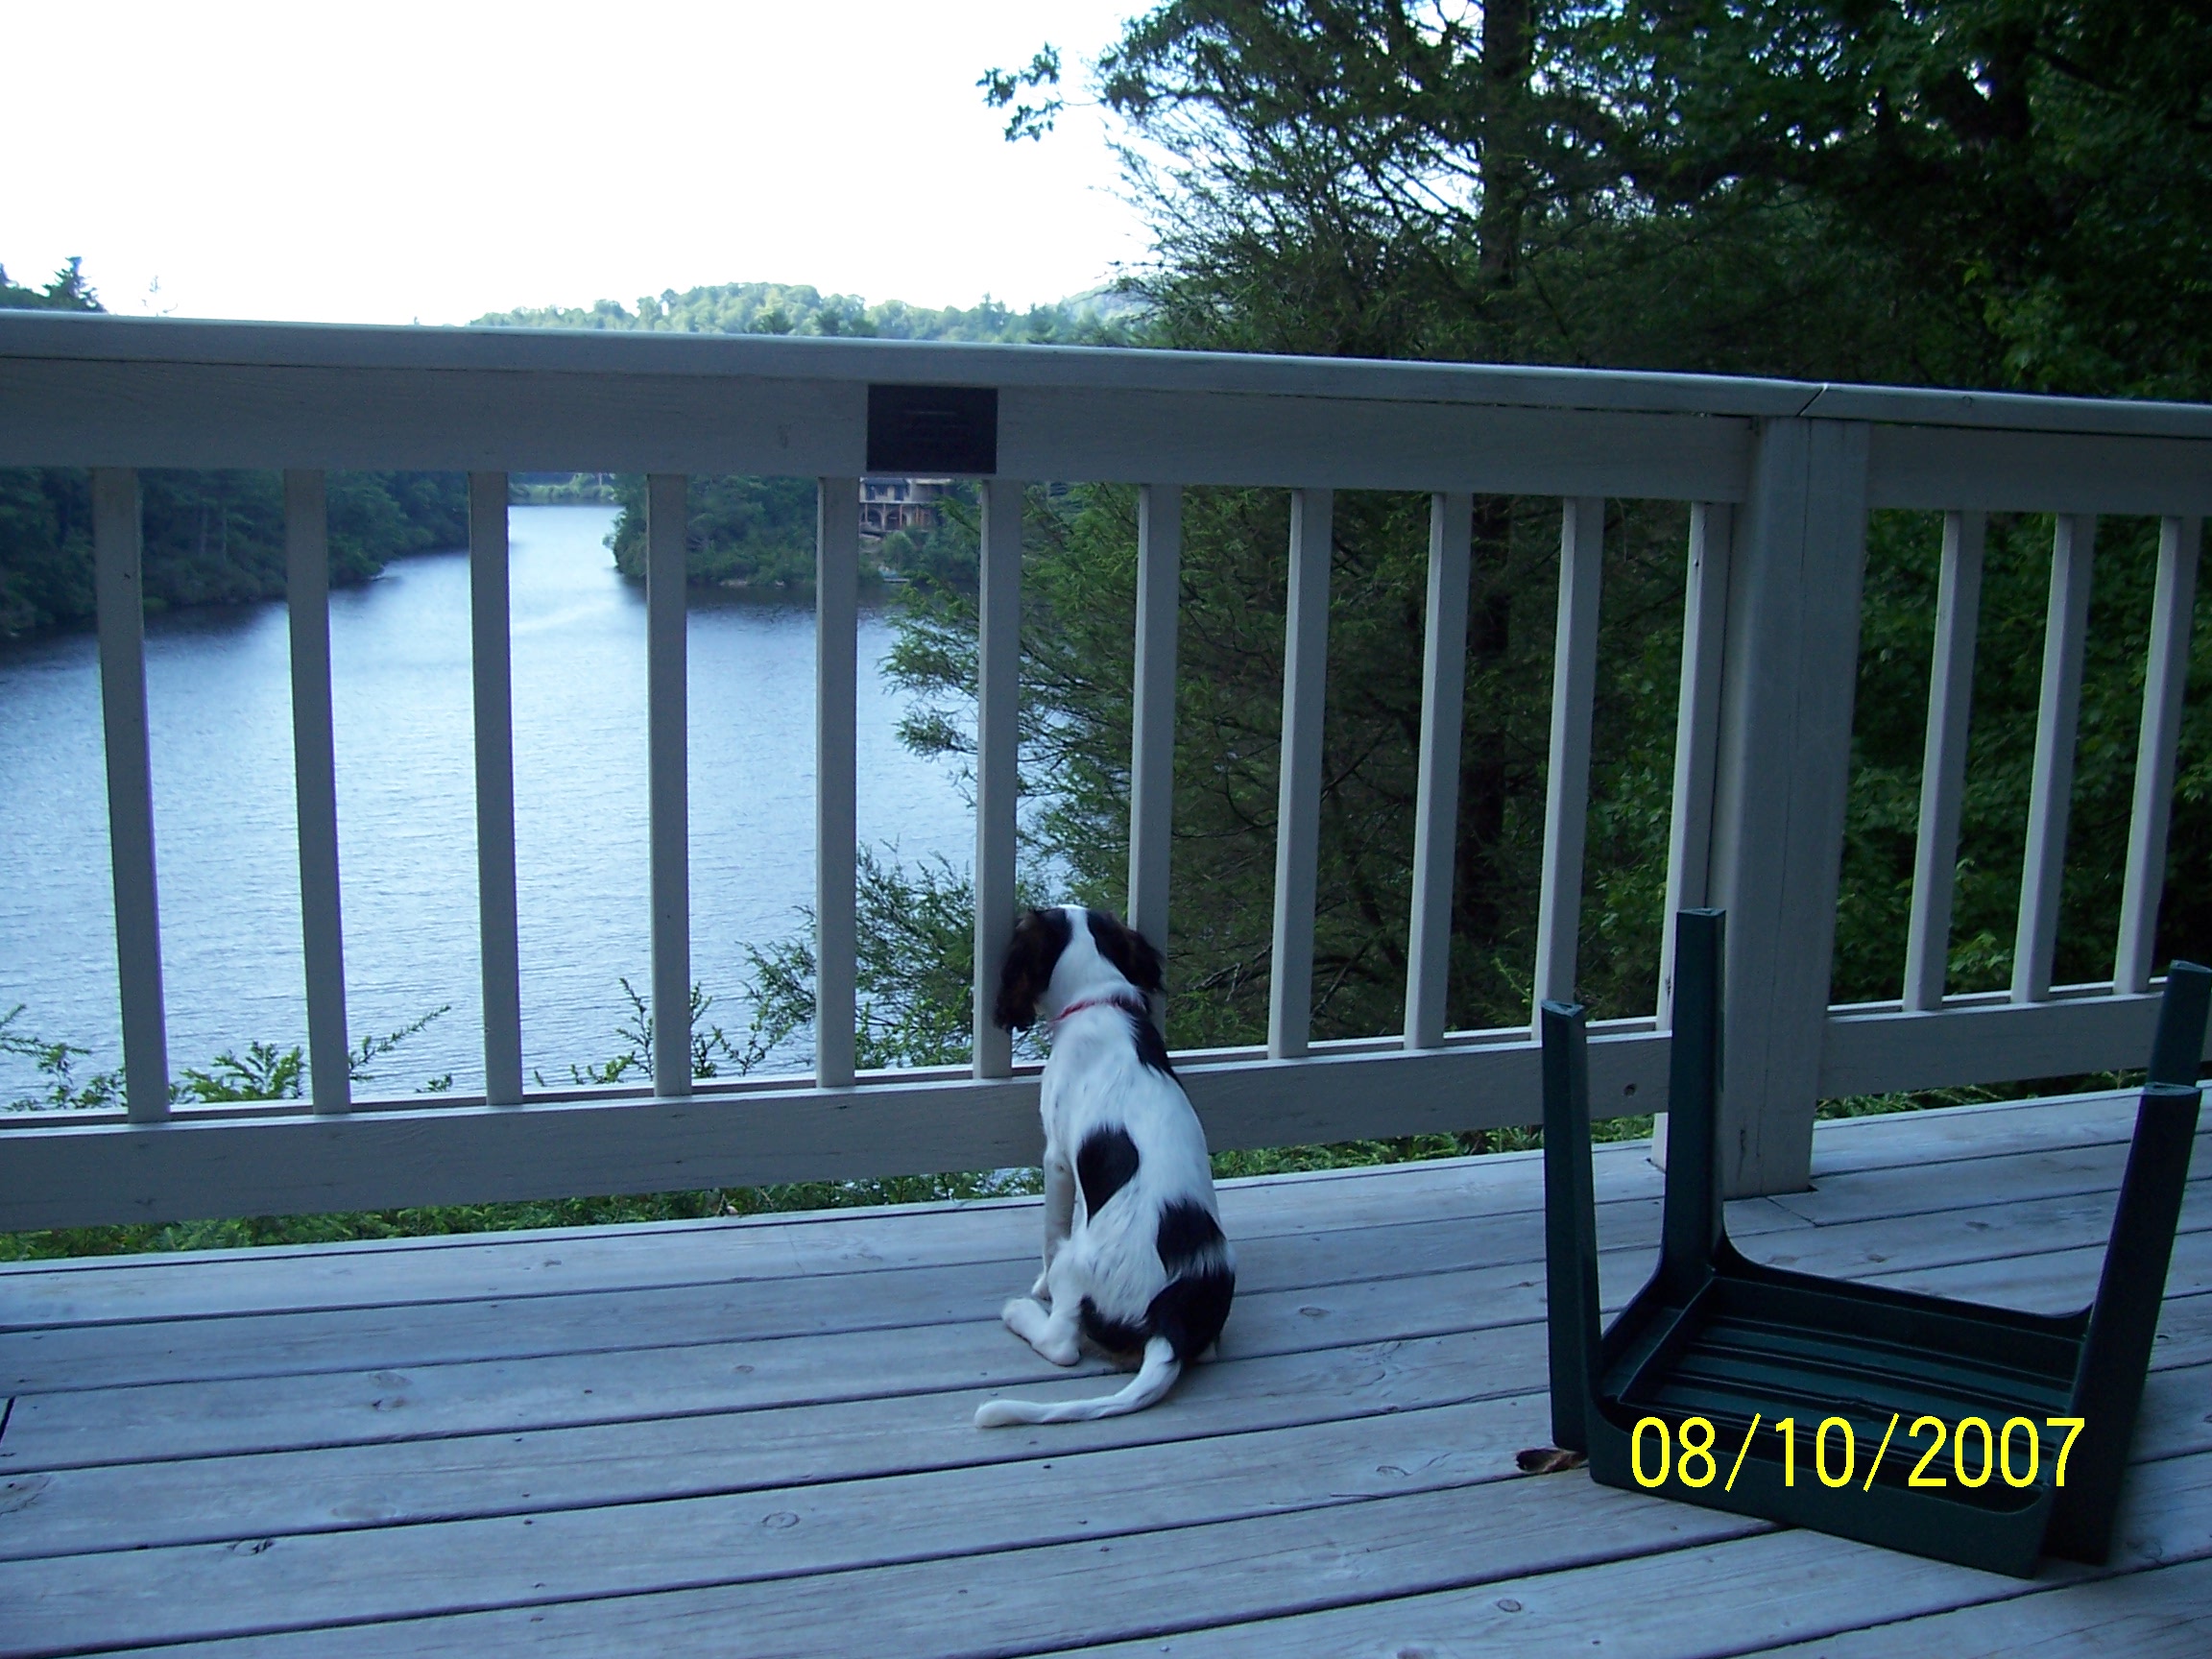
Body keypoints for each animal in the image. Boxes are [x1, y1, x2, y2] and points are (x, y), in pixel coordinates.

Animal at [972, 906, 1235, 1427]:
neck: (1099, 1002)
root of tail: (1171, 1323)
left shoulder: (1056, 1156)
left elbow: (1051, 1230)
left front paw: (1038, 1286)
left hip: (1077, 1268)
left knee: (1062, 1344)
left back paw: (1020, 1313)